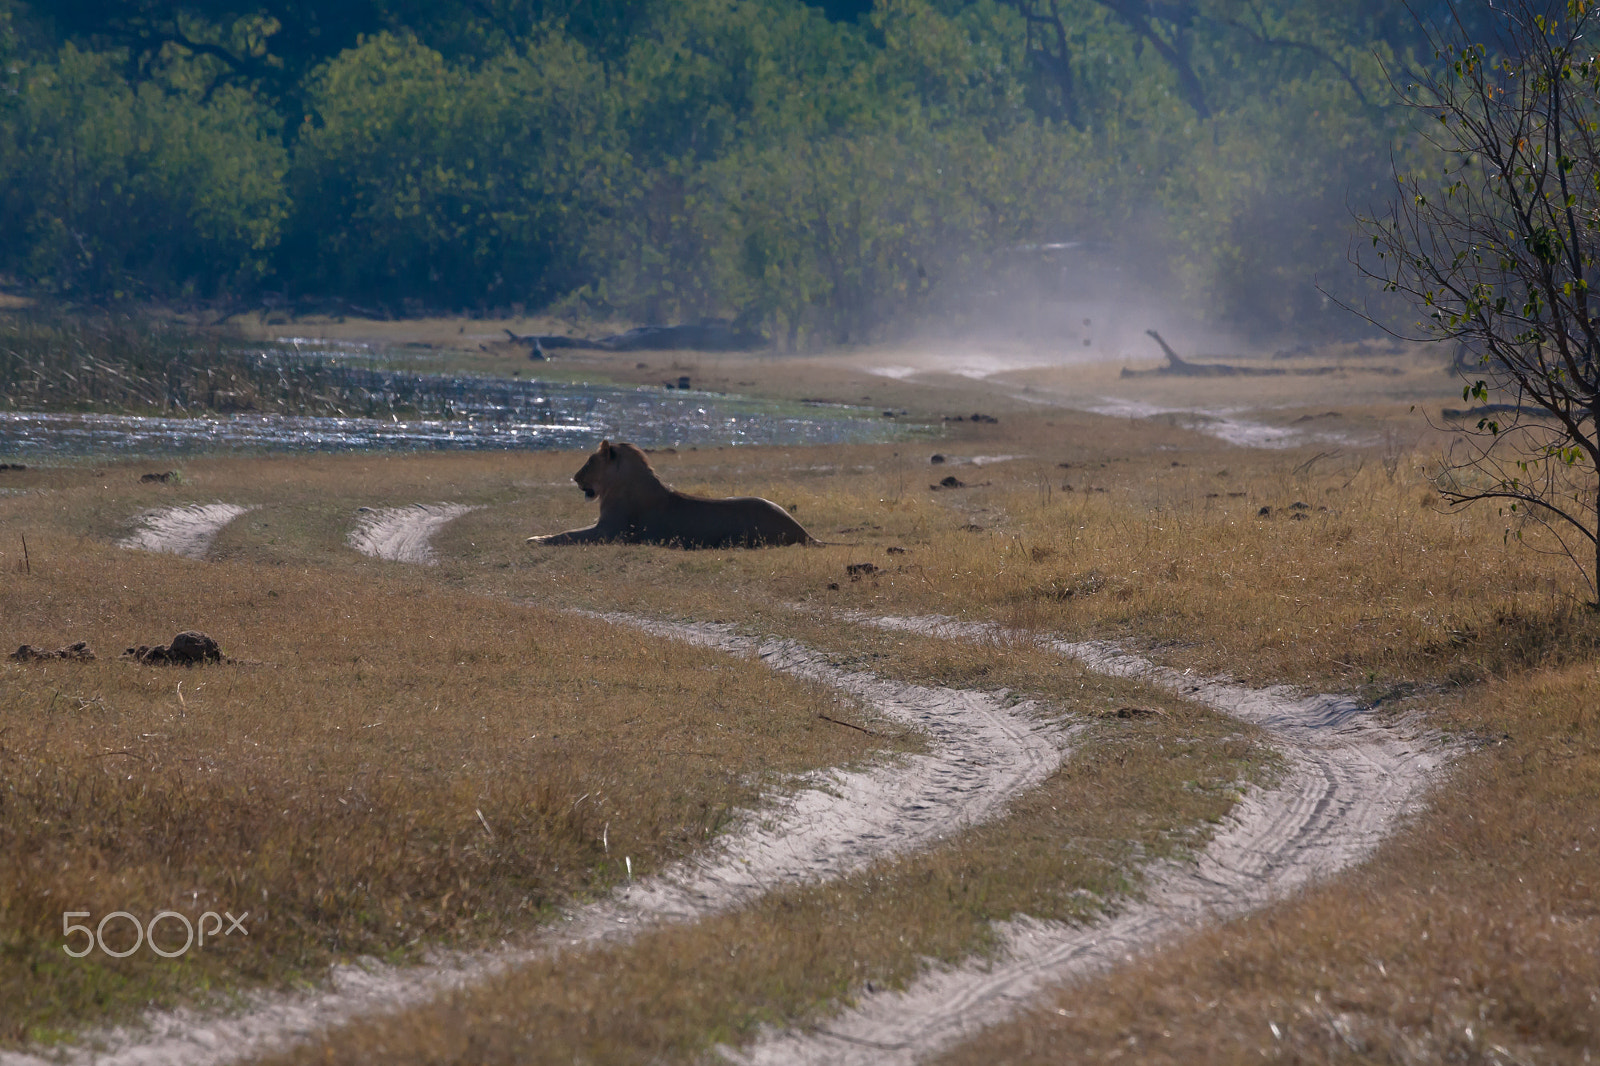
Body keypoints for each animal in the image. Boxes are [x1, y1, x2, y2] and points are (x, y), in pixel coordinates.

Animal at [527, 440, 819, 548]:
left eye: (589, 461)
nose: (575, 477)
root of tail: (805, 532)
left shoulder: (610, 532)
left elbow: (568, 534)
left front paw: (536, 539)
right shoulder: (603, 527)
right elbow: (569, 530)